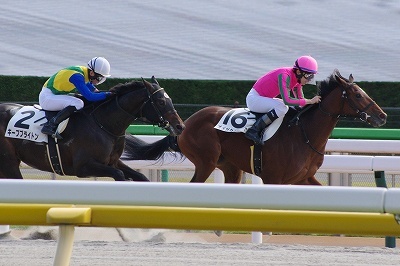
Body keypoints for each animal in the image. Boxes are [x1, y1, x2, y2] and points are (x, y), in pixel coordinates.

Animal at [0, 77, 184, 181]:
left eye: (170, 100)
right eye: (161, 102)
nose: (180, 126)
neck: (104, 124)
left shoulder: (113, 161)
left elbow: (140, 176)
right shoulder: (83, 167)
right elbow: (119, 175)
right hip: (8, 163)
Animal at [122, 69, 388, 184]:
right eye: (357, 94)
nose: (382, 116)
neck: (305, 135)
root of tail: (185, 123)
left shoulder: (304, 178)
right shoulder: (274, 179)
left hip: (230, 167)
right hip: (206, 161)